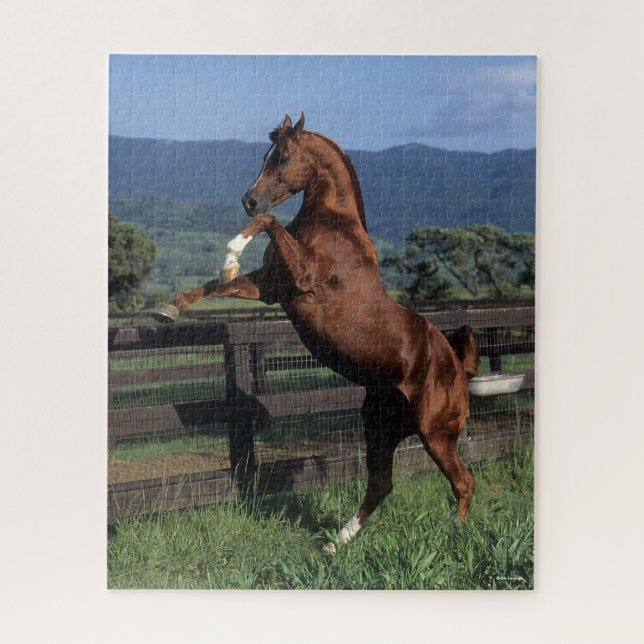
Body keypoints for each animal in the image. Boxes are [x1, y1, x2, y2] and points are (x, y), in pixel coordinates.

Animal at [153, 114, 480, 553]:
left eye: (283, 157)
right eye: (265, 155)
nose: (249, 200)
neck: (332, 225)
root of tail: (459, 366)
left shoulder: (301, 278)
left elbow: (269, 223)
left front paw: (231, 253)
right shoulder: (272, 287)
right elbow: (216, 286)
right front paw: (168, 308)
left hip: (435, 434)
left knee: (464, 483)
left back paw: (455, 536)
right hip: (380, 428)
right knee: (381, 484)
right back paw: (336, 542)